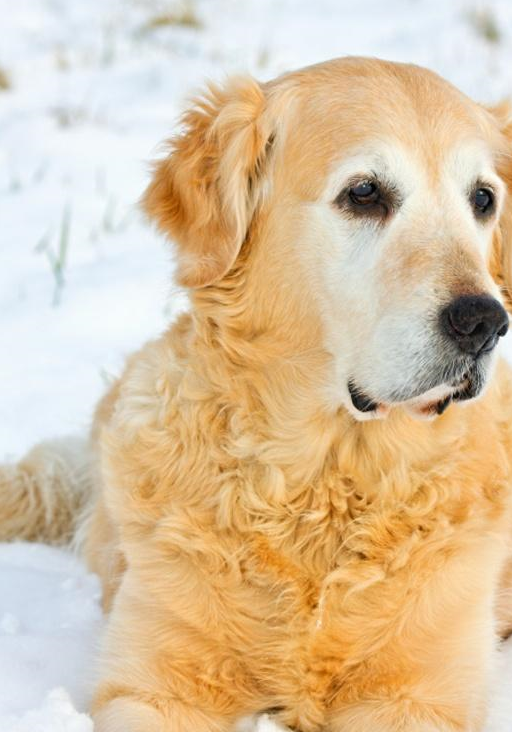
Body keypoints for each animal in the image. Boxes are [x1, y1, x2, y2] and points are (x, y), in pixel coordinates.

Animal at [1, 58, 512, 732]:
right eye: (364, 193)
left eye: (482, 199)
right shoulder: (154, 688)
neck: (324, 477)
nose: (485, 321)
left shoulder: (418, 697)